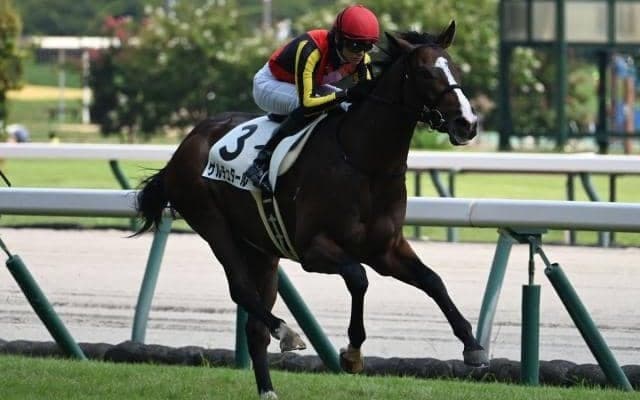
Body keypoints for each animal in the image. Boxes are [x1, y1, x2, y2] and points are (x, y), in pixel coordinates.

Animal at [135, 21, 487, 399]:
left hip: (261, 249)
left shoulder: (386, 249)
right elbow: (358, 278)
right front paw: (352, 353)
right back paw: (286, 332)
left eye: (456, 68)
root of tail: (186, 143)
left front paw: (473, 346)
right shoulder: (313, 249)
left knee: (255, 326)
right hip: (212, 223)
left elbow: (432, 280)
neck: (365, 162)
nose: (467, 123)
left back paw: (268, 389)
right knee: (241, 289)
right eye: (424, 72)